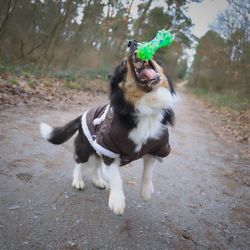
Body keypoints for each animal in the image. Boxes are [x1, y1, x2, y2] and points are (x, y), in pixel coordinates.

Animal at [39, 40, 176, 215]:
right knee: (79, 164)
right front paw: (117, 201)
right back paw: (78, 181)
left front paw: (145, 192)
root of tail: (83, 114)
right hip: (85, 147)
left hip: (97, 148)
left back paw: (98, 181)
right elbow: (117, 178)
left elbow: (148, 172)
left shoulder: (155, 148)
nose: (132, 42)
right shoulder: (109, 148)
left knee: (96, 166)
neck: (146, 107)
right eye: (123, 64)